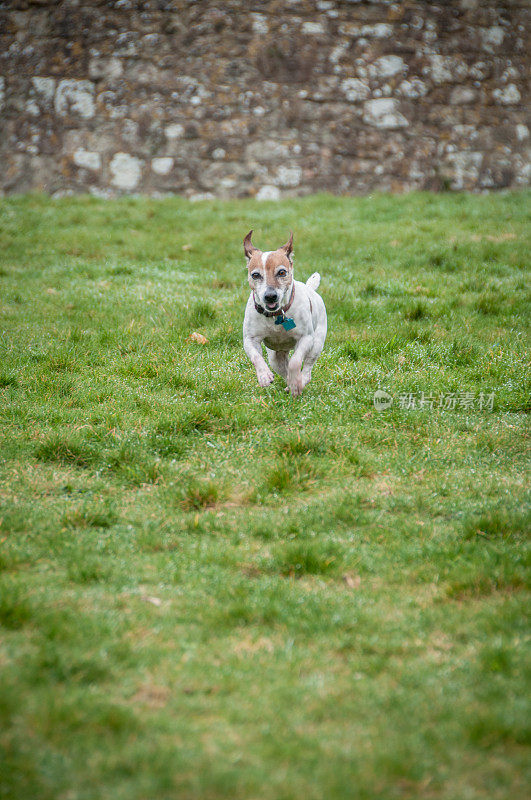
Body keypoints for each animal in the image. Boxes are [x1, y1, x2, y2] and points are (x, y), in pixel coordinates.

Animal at [243, 228, 326, 396]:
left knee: (307, 368)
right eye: (255, 275)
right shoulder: (249, 339)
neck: (276, 316)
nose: (270, 296)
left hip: (317, 343)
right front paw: (264, 376)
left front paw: (296, 383)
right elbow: (256, 357)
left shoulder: (306, 338)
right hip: (275, 357)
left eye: (282, 272)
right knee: (283, 368)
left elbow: (295, 362)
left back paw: (299, 381)